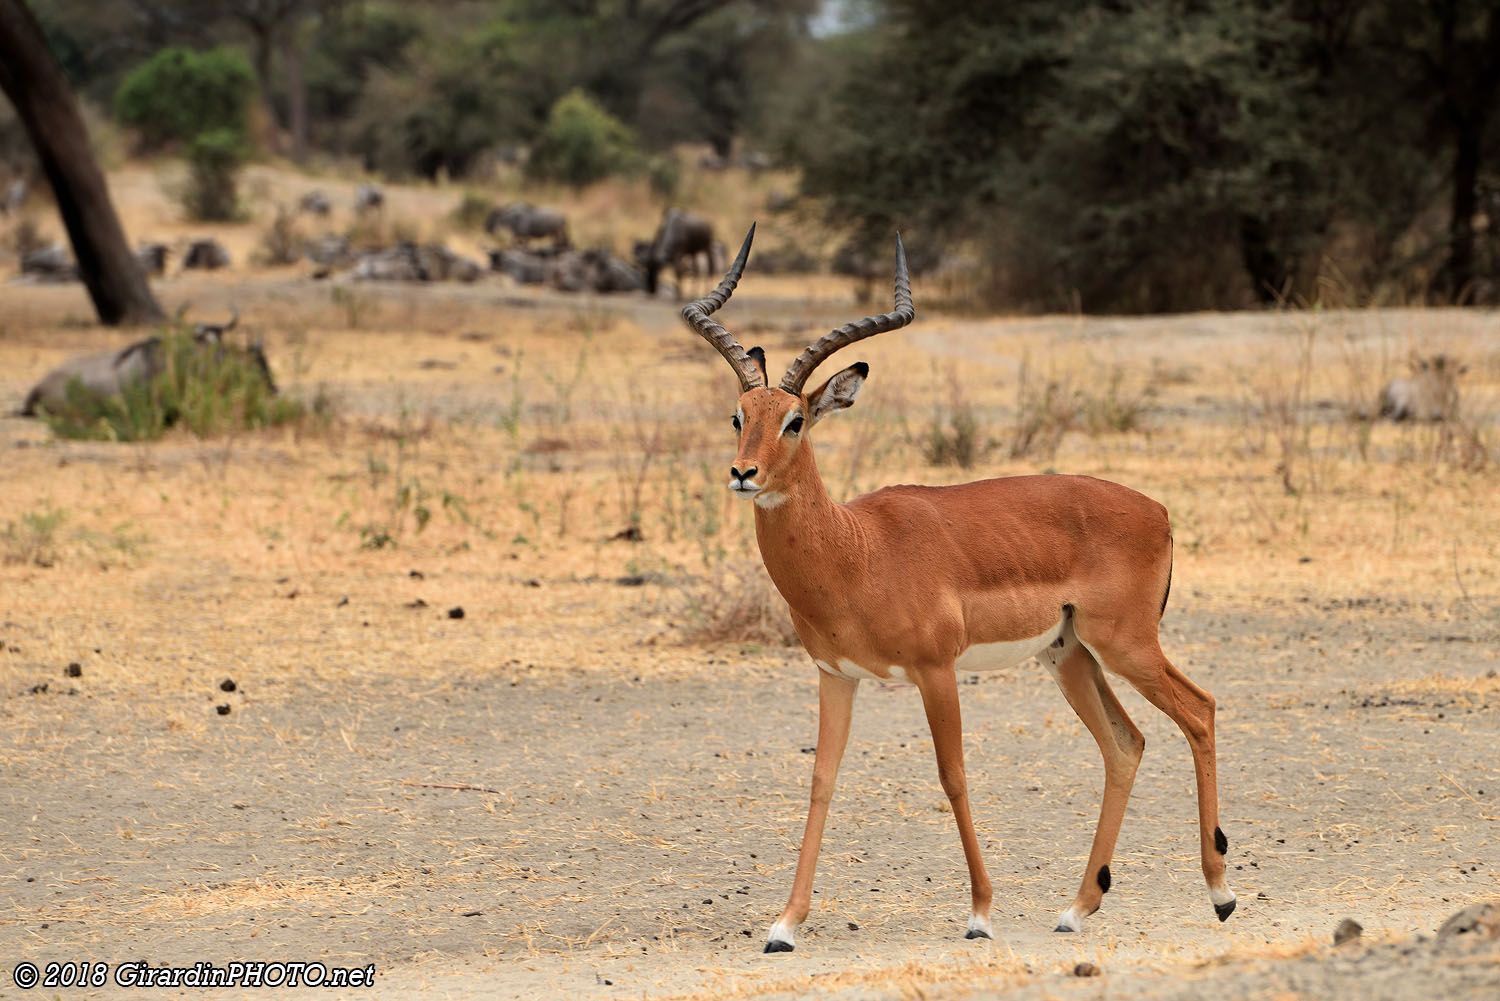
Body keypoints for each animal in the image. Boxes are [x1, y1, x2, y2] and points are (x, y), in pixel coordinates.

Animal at [684, 225, 1235, 952]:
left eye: (795, 420)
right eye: (737, 414)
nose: (743, 473)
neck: (858, 551)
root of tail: (1159, 510)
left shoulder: (936, 670)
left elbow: (954, 776)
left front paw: (980, 914)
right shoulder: (837, 674)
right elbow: (822, 780)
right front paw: (784, 924)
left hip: (1127, 644)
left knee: (1199, 710)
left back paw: (1221, 894)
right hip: (1070, 655)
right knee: (1126, 743)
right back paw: (1076, 907)